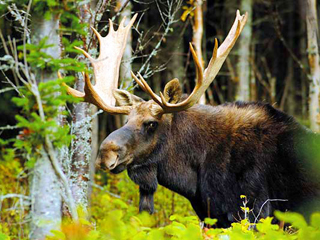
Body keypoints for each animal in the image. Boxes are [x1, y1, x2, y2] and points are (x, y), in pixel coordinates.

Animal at [63, 11, 320, 228]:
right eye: (127, 120)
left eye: (151, 123)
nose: (105, 153)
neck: (194, 172)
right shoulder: (212, 216)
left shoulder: (253, 211)